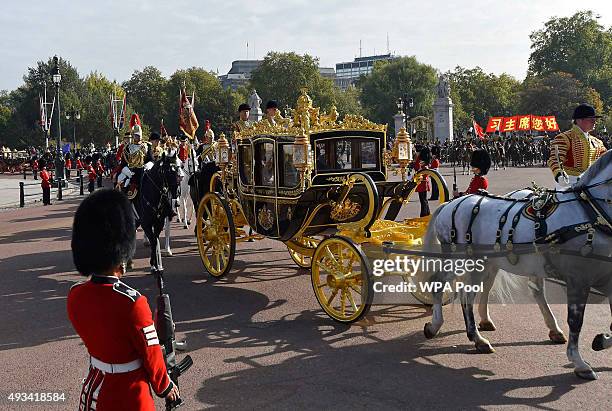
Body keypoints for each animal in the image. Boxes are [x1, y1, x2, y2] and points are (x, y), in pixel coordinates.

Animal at [420, 150, 612, 382]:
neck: (590, 213)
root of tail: (449, 204)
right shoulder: (578, 279)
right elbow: (576, 320)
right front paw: (580, 363)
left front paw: (601, 340)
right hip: (462, 261)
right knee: (448, 288)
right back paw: (453, 331)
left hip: (485, 263)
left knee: (478, 291)